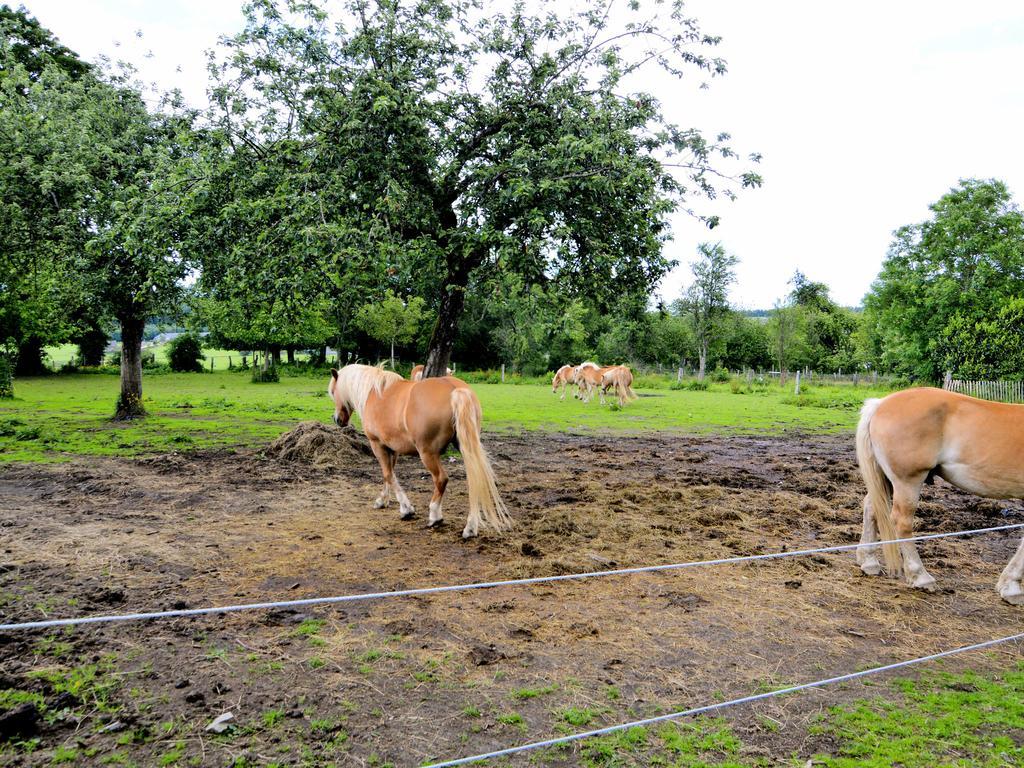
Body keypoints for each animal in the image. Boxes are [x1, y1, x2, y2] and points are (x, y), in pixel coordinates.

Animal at [325, 364, 509, 536]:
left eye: (333, 392)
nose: (337, 419)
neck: (374, 392)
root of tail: (455, 389)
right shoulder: (392, 449)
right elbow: (389, 474)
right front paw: (383, 500)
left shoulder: (377, 445)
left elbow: (388, 475)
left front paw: (406, 509)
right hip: (465, 448)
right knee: (474, 480)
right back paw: (470, 527)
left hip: (427, 453)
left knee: (441, 479)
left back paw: (435, 516)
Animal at [851, 387, 1024, 606]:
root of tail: (880, 404)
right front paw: (1012, 588)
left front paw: (1009, 585)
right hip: (907, 482)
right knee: (901, 522)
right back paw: (921, 577)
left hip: (886, 481)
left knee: (871, 508)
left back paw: (868, 561)